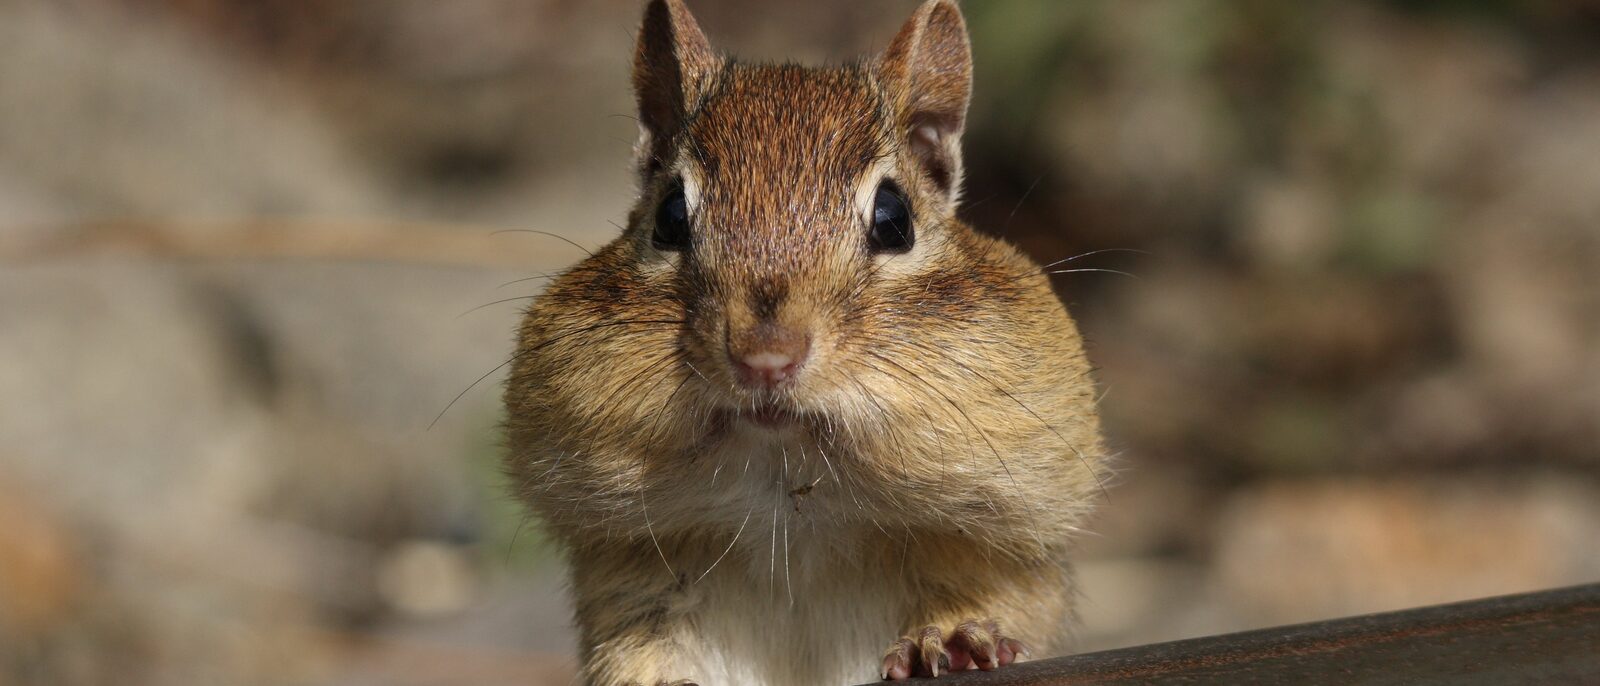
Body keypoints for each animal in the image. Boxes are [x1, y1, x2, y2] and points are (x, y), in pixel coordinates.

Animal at [502, 1, 1108, 684]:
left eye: (894, 218)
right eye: (670, 218)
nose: (765, 358)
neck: (791, 506)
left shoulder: (1004, 549)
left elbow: (993, 598)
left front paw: (952, 640)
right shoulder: (634, 587)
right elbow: (640, 652)